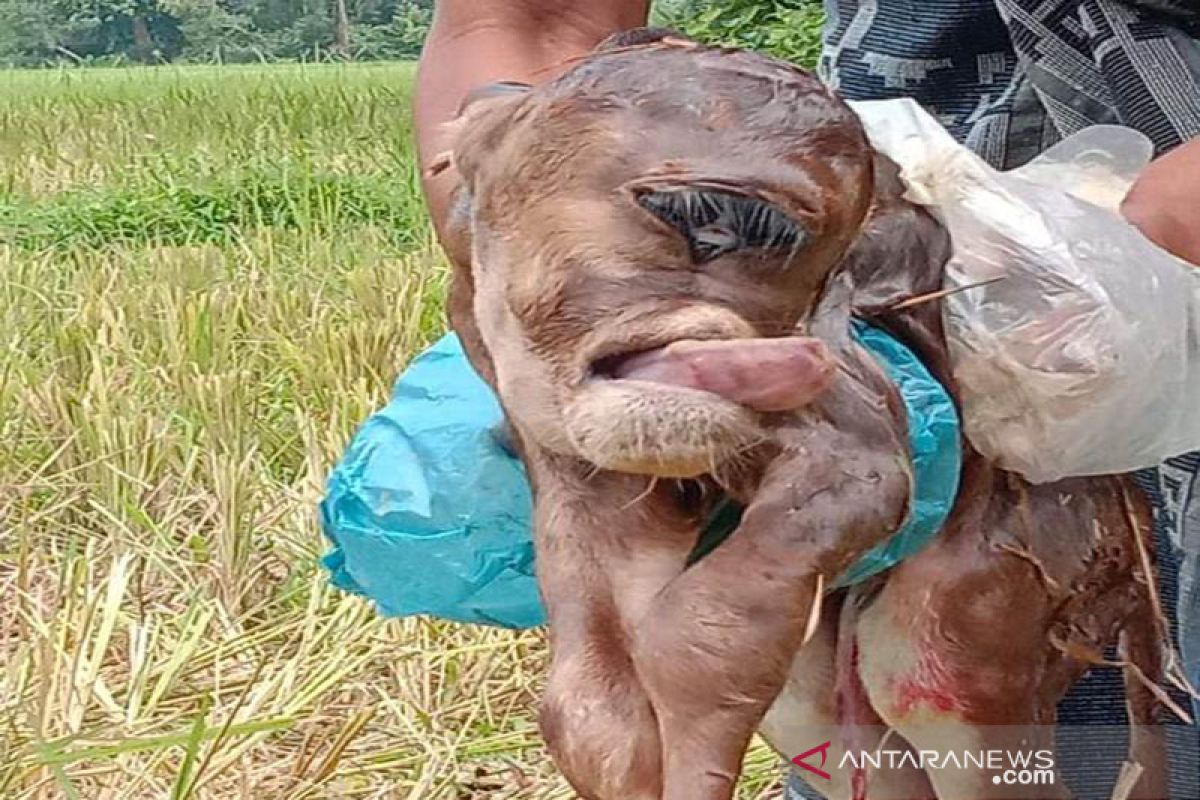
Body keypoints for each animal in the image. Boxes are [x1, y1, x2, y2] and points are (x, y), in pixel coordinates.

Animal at [436, 32, 1176, 800]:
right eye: (694, 218)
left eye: (811, 262)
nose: (774, 356)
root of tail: (1132, 547)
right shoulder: (573, 465)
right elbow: (590, 709)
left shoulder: (859, 444)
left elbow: (699, 632)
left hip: (972, 627)